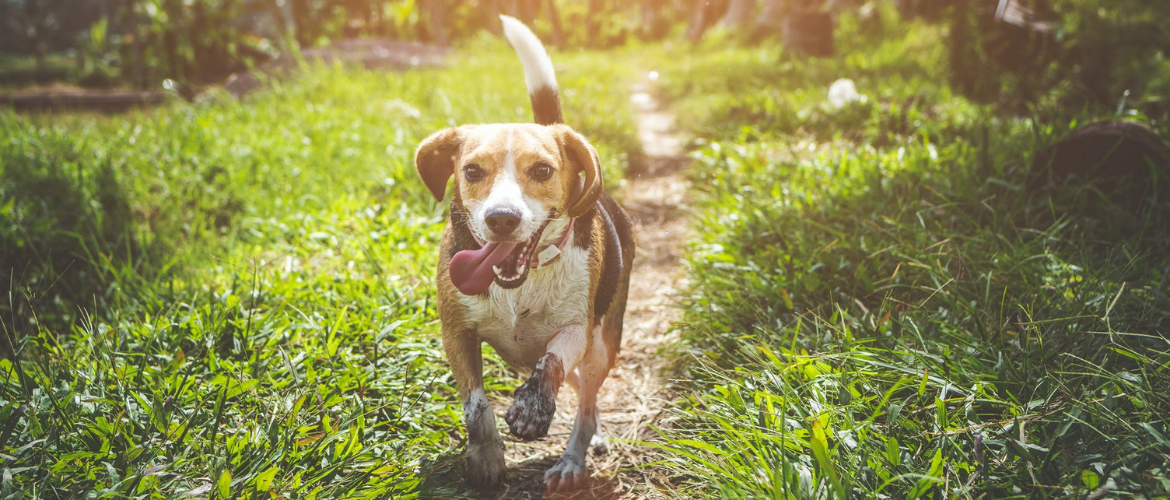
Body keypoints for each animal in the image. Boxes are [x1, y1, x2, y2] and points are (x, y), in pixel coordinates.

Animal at [411, 14, 631, 494]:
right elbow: (476, 405)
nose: (502, 219)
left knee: (585, 403)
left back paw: (572, 460)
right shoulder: (456, 332)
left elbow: (551, 362)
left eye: (543, 170)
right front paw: (486, 458)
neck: (520, 283)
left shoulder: (576, 330)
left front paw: (532, 409)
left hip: (603, 344)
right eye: (472, 170)